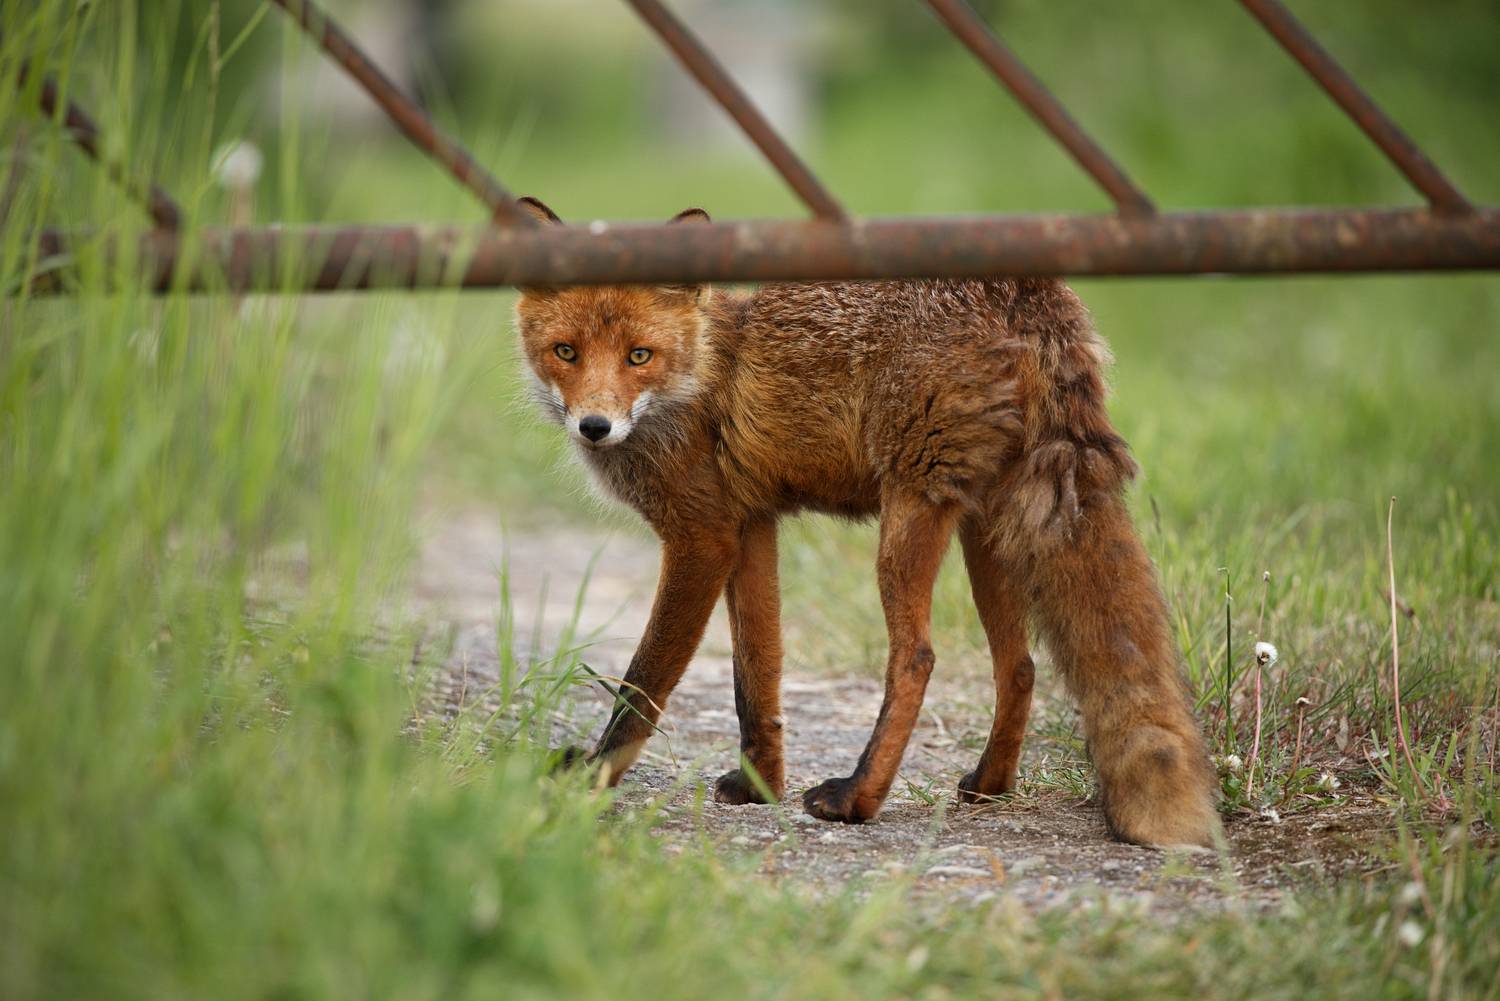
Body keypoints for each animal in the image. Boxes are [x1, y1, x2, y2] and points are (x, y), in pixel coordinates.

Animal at [513, 196, 1222, 848]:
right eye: (566, 352)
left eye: (639, 356)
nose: (595, 426)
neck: (696, 380)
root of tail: (1026, 288)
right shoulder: (750, 528)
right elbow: (756, 676)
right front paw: (760, 785)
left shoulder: (702, 537)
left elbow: (643, 683)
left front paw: (595, 779)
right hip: (987, 529)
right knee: (1019, 665)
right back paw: (989, 785)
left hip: (908, 519)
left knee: (917, 658)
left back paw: (858, 798)